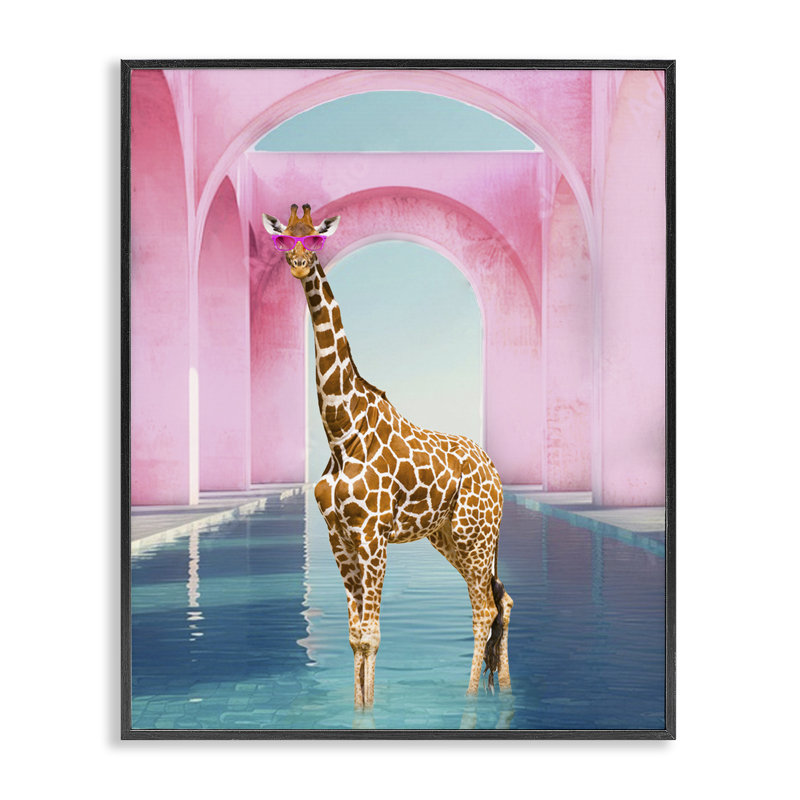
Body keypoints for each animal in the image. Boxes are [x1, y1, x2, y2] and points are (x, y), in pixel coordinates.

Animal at [262, 204, 513, 709]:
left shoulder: (372, 534)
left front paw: (370, 712)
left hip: (474, 535)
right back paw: (505, 691)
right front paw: (359, 710)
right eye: (283, 238)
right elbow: (356, 635)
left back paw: (471, 700)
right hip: (449, 537)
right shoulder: (339, 536)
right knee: (503, 599)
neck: (342, 431)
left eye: (315, 237)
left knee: (484, 608)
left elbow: (372, 635)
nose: (298, 263)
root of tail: (495, 473)